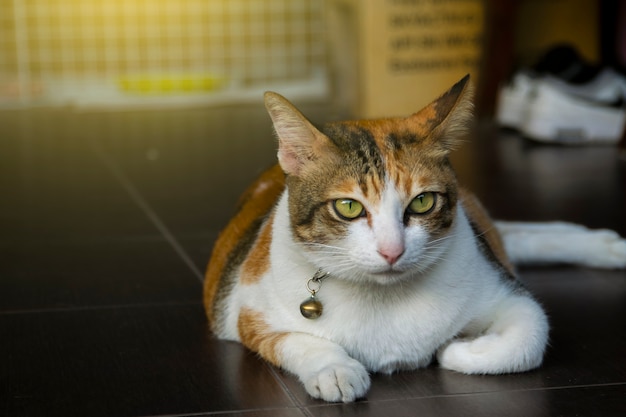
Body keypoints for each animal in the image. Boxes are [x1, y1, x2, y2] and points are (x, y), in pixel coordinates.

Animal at [204, 75, 624, 404]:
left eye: (422, 202)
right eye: (349, 207)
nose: (392, 251)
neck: (383, 297)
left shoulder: (506, 290)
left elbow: (529, 335)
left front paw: (456, 350)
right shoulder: (247, 308)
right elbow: (296, 339)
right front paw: (335, 369)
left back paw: (606, 244)